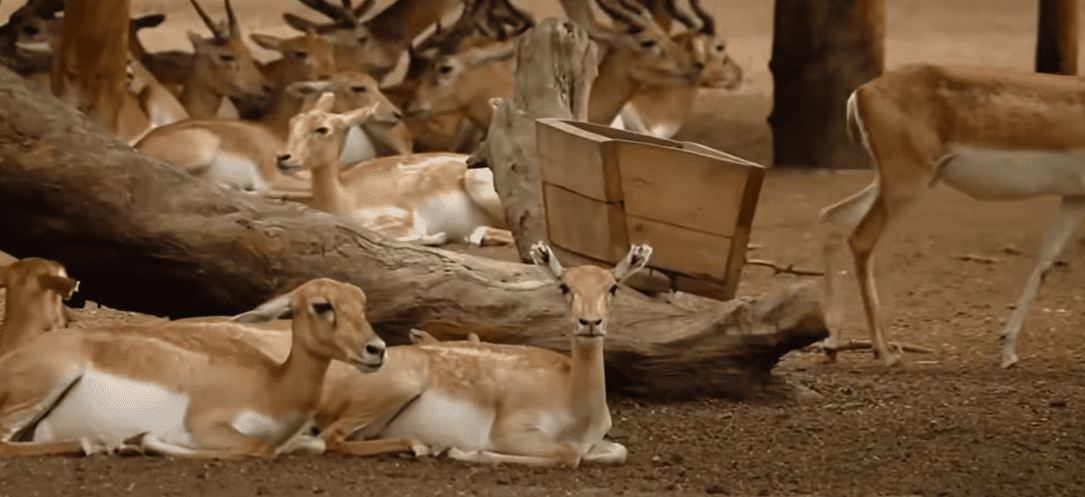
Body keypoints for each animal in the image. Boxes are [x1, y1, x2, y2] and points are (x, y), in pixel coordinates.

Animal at [0, 278, 387, 458]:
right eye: (322, 305)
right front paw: (142, 441)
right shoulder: (205, 426)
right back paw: (95, 444)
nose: (377, 350)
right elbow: (260, 448)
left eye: (362, 302)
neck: (272, 387)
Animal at [276, 92, 510, 245]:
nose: (282, 157)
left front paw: (436, 237)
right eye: (293, 122)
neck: (344, 197)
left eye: (322, 129)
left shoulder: (402, 218)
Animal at [822, 63, 1085, 368]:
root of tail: (862, 92)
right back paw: (884, 352)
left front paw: (1007, 351)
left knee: (832, 217)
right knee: (860, 238)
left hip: (891, 182)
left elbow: (1044, 263)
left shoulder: (1075, 196)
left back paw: (832, 344)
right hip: (906, 184)